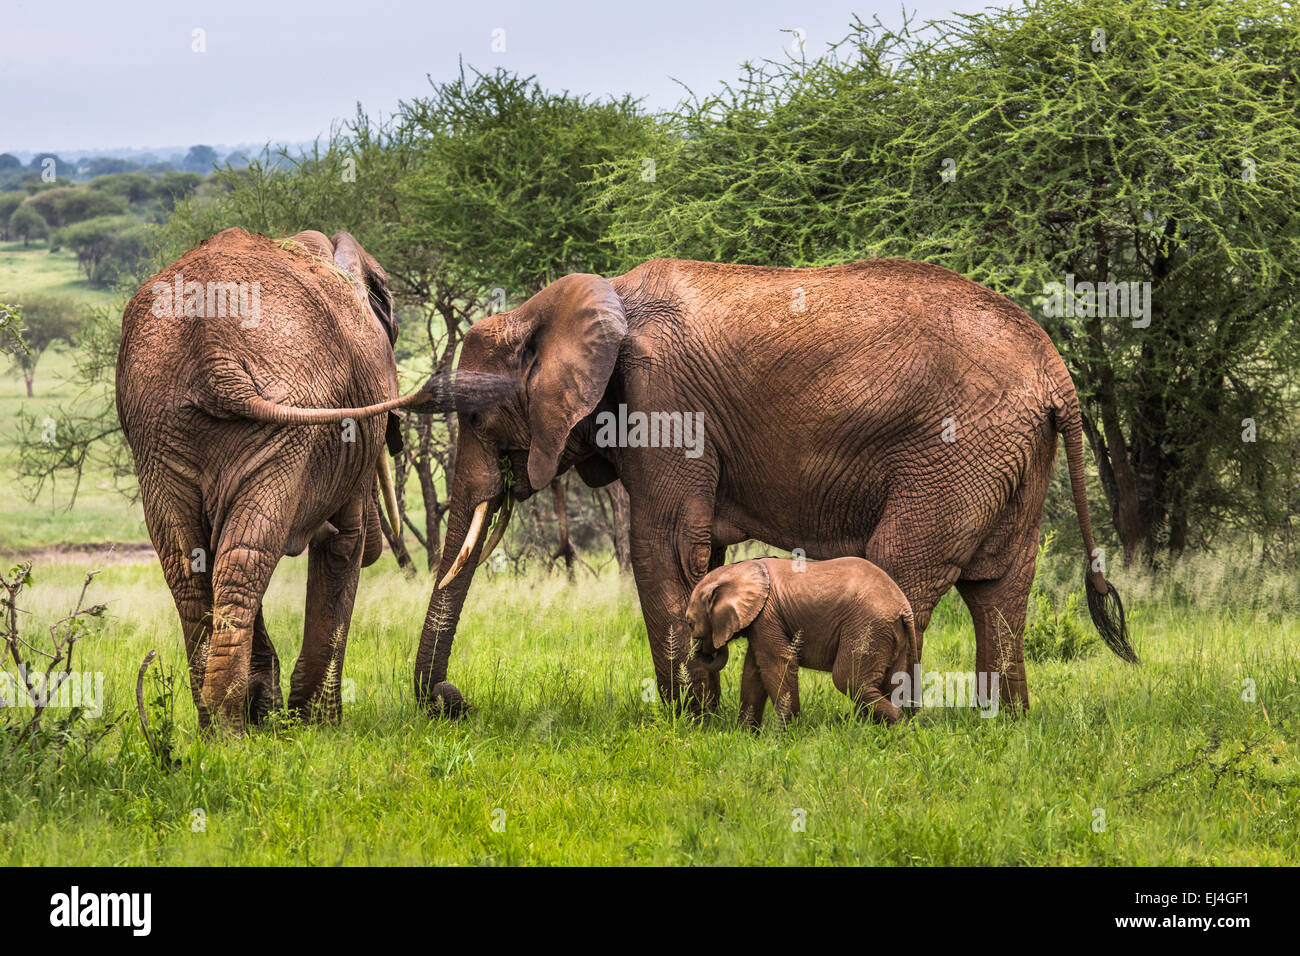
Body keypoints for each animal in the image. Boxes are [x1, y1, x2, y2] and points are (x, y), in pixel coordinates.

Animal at [116, 226, 504, 733]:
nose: (450, 700)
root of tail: (213, 356)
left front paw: (277, 715)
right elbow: (344, 543)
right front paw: (319, 723)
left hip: (162, 430)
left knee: (199, 565)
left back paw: (216, 725)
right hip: (274, 428)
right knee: (246, 557)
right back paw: (229, 729)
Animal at [686, 556, 920, 728]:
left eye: (690, 623)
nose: (708, 648)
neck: (737, 569)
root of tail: (903, 606)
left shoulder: (767, 615)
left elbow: (779, 664)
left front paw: (786, 734)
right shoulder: (761, 621)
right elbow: (753, 672)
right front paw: (746, 734)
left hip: (868, 625)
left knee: (848, 680)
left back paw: (899, 724)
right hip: (891, 633)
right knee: (893, 683)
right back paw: (891, 728)